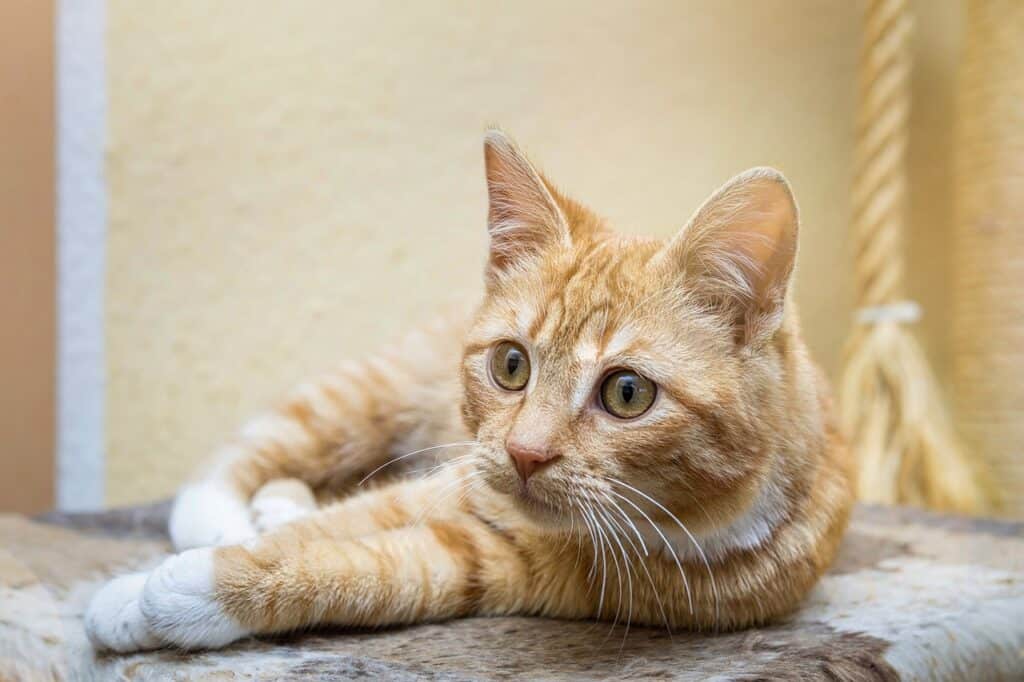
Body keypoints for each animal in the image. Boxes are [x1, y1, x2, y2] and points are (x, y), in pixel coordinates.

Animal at [86, 131, 856, 647]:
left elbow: (358, 567)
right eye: (511, 365)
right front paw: (137, 590)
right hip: (370, 397)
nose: (525, 455)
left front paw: (177, 593)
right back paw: (221, 516)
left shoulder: (510, 569)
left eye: (628, 394)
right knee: (255, 451)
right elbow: (329, 528)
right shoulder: (453, 481)